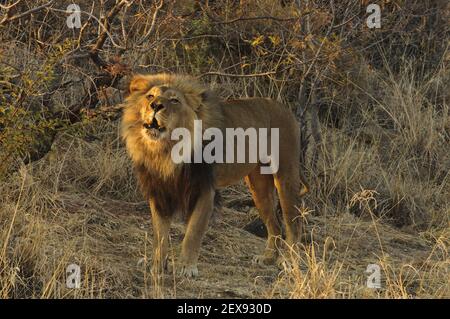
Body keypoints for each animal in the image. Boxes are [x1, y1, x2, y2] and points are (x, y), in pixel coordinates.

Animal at [121, 73, 308, 278]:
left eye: (174, 100)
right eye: (150, 96)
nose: (155, 105)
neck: (166, 150)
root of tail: (285, 109)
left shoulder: (204, 190)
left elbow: (193, 232)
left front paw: (187, 268)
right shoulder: (160, 190)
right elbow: (160, 234)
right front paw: (156, 266)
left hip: (285, 174)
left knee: (293, 221)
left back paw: (288, 261)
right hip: (258, 186)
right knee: (274, 224)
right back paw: (267, 258)